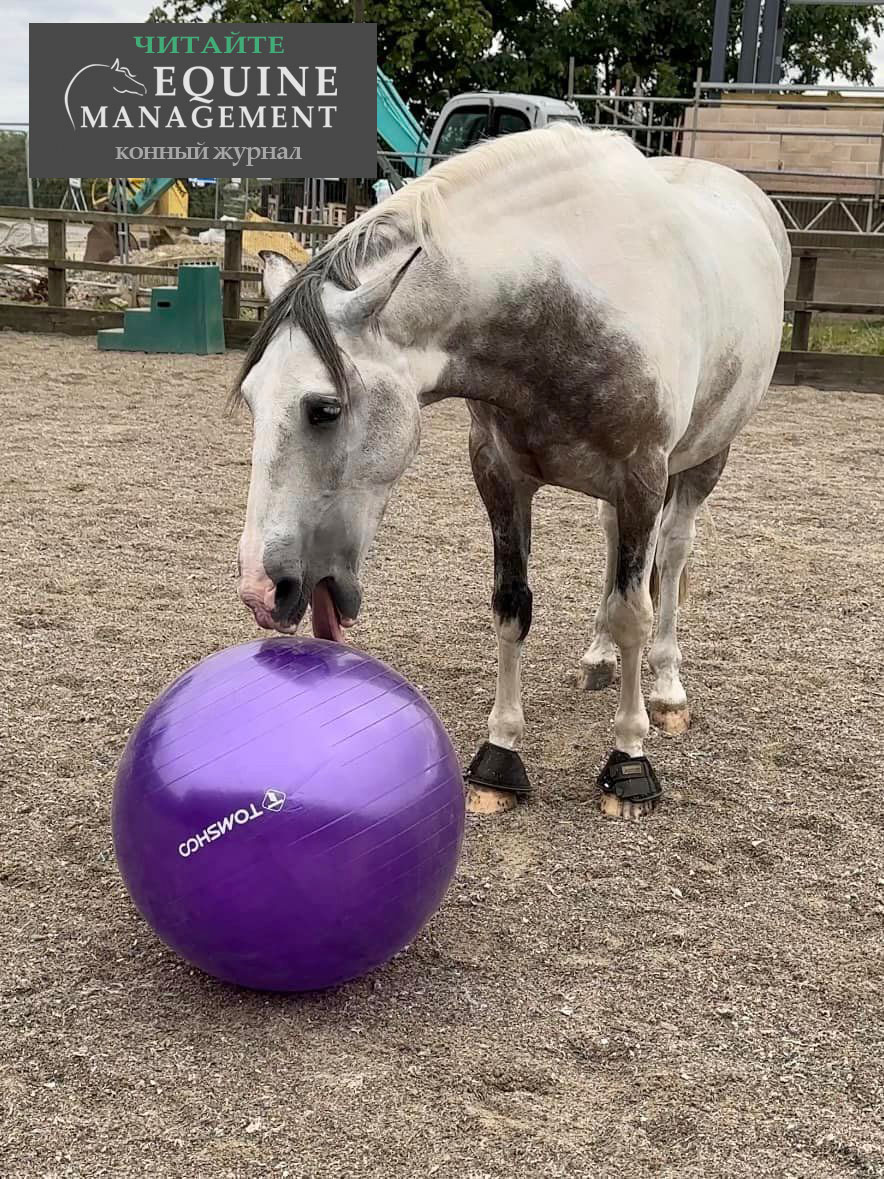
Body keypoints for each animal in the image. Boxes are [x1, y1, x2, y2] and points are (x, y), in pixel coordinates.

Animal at [233, 125, 789, 820]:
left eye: (324, 409)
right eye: (250, 400)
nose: (262, 591)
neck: (562, 299)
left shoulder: (642, 475)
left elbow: (635, 610)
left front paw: (628, 761)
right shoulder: (500, 476)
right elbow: (512, 605)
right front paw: (500, 758)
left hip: (699, 463)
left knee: (672, 555)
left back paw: (664, 688)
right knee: (615, 549)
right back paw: (599, 657)